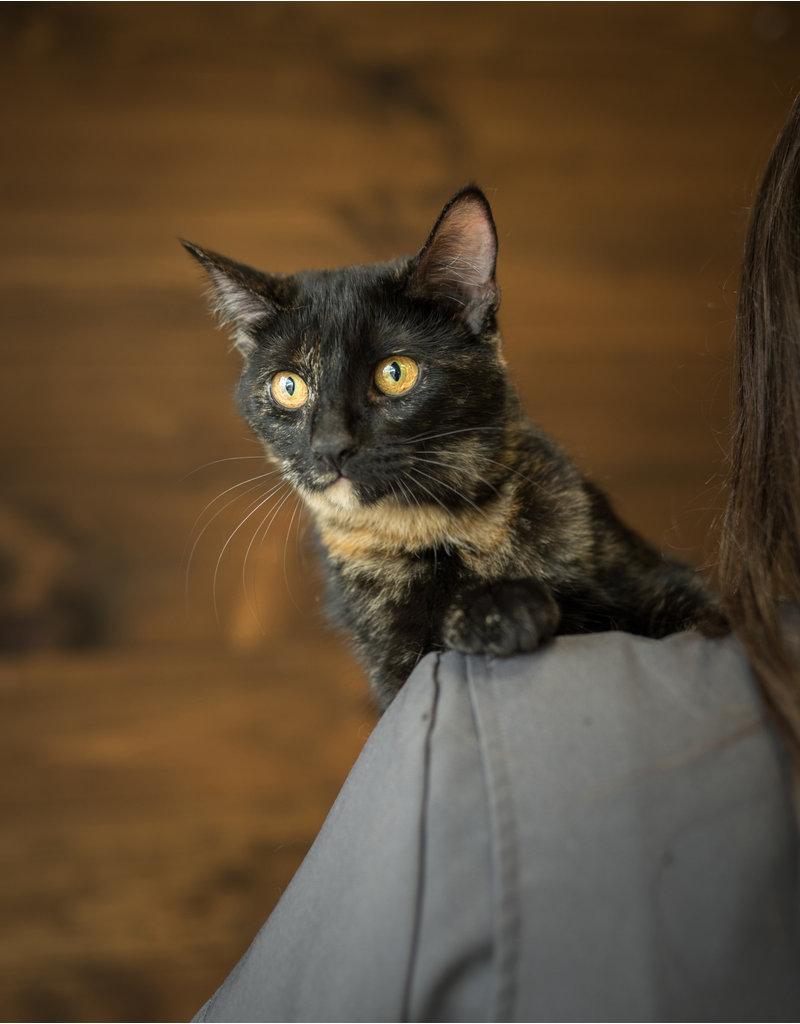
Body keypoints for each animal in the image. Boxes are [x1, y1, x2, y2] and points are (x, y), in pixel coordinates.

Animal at [182, 186, 725, 712]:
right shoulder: (395, 664)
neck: (452, 524)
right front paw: (500, 610)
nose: (331, 447)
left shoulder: (652, 576)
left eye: (395, 372)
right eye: (289, 386)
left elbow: (702, 617)